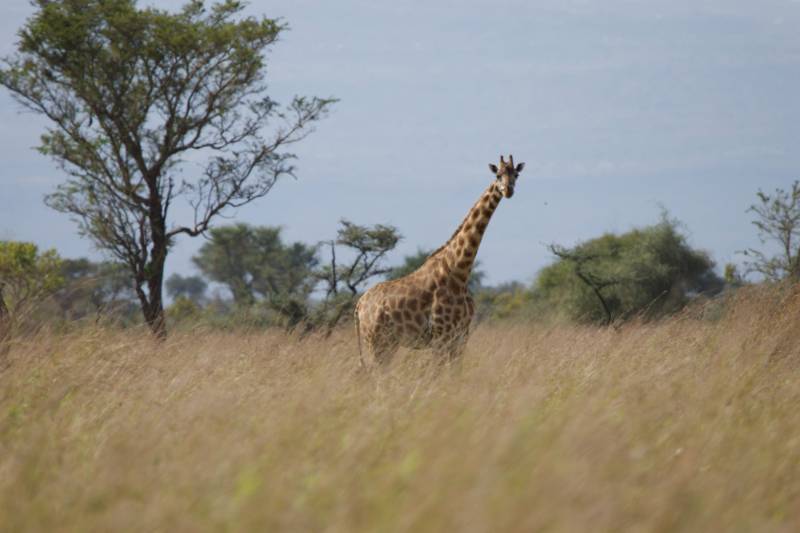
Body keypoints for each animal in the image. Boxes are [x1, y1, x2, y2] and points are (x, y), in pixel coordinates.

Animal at [355, 154, 525, 366]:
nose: (508, 190)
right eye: (498, 174)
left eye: (516, 174)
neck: (460, 271)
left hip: (387, 343)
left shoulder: (461, 336)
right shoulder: (441, 336)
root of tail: (359, 305)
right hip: (377, 342)